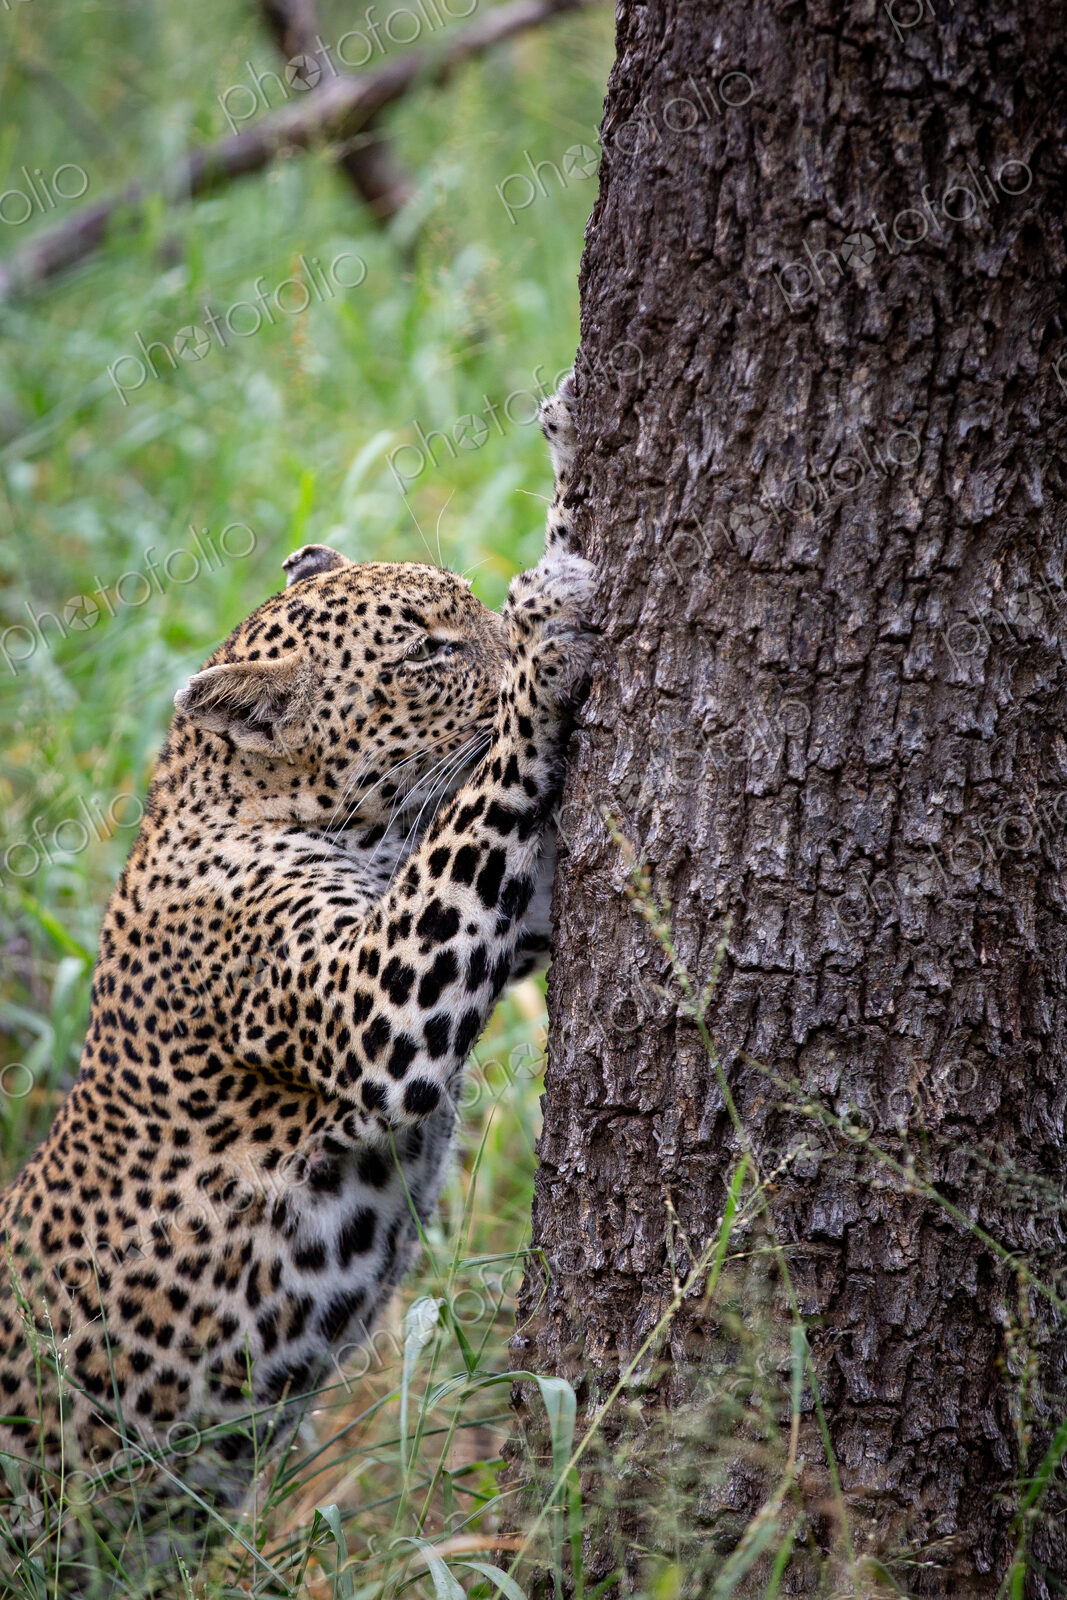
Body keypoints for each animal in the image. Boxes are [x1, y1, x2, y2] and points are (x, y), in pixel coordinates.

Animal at [0, 375, 593, 1592]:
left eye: (464, 606)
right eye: (424, 651)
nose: (501, 617)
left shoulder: (510, 912)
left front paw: (563, 467)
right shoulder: (383, 999)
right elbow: (486, 789)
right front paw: (543, 653)